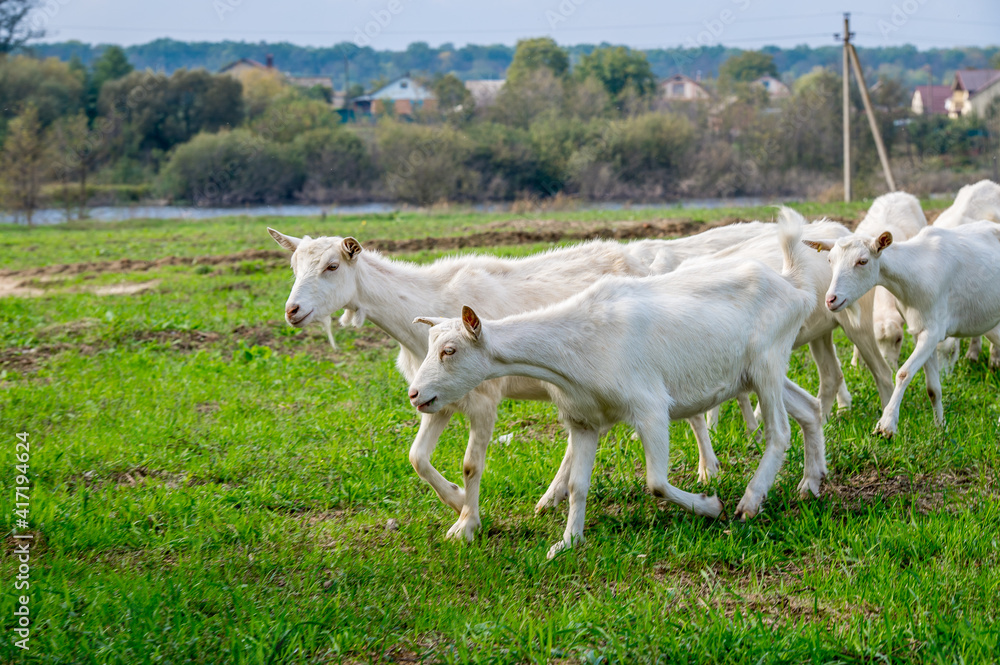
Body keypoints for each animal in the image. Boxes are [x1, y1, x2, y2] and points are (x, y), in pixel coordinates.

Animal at [406, 211, 820, 556]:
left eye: (449, 350)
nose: (415, 394)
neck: (574, 343)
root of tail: (793, 284)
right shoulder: (583, 420)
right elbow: (578, 485)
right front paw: (568, 542)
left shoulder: (650, 407)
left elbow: (656, 482)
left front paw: (709, 505)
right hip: (753, 373)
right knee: (810, 408)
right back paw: (811, 484)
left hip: (767, 362)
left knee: (779, 431)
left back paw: (750, 501)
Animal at [808, 220, 1000, 438]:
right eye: (829, 260)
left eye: (863, 261)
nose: (831, 300)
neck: (914, 272)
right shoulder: (919, 330)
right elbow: (933, 388)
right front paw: (940, 429)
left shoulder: (933, 330)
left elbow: (903, 373)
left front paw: (886, 425)